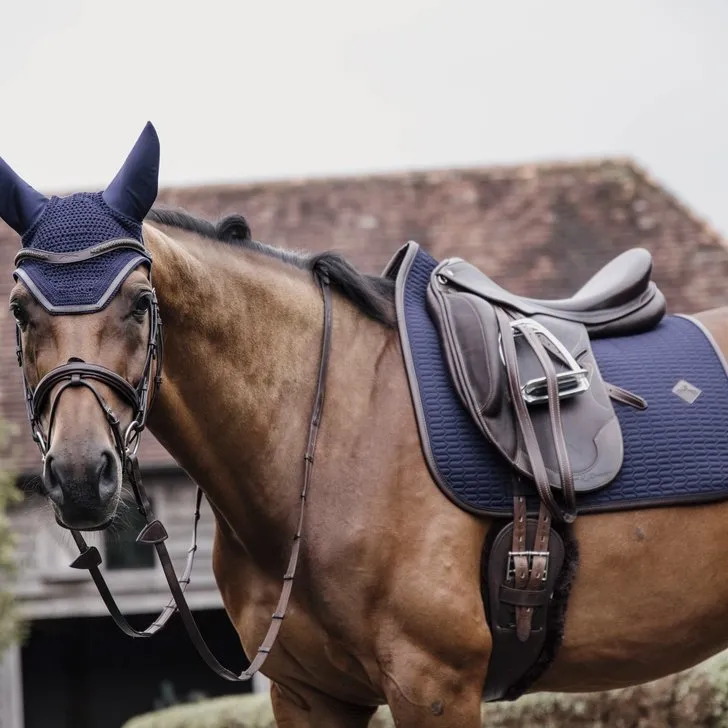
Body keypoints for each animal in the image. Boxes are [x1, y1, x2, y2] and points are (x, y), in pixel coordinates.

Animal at [5, 125, 728, 728]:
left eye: (140, 303)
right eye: (19, 310)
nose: (79, 475)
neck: (325, 438)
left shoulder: (433, 687)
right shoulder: (308, 695)